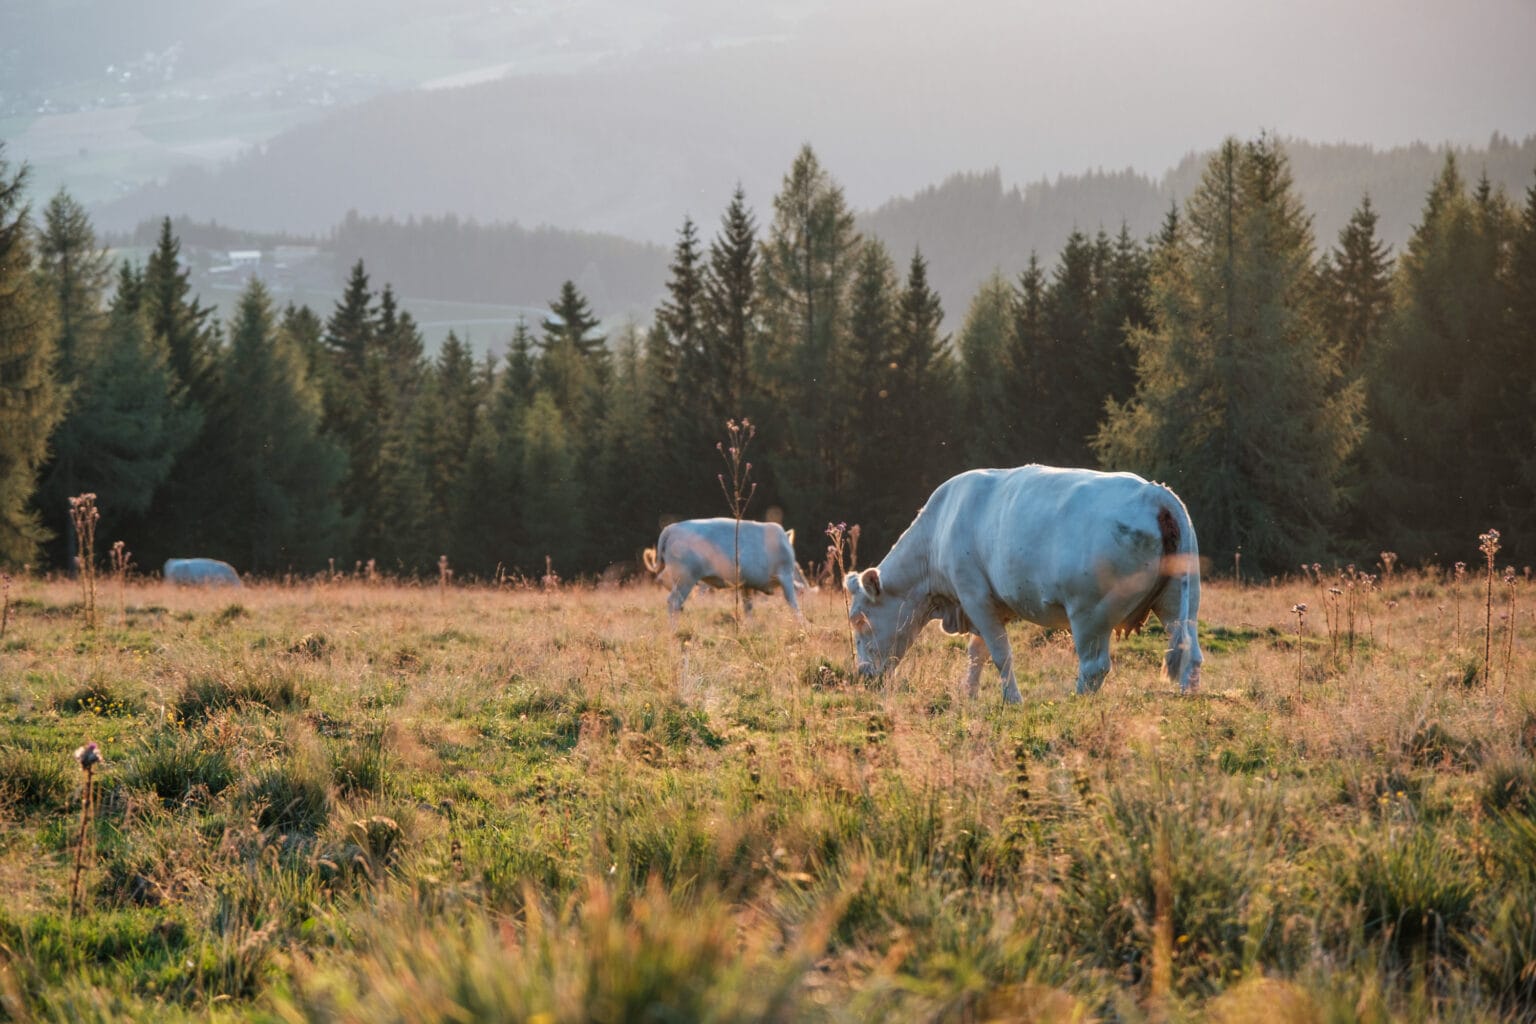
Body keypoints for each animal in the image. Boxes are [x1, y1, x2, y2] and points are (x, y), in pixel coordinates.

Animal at [642, 521, 811, 626]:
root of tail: (671, 528)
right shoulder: (785, 575)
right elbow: (793, 603)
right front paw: (804, 626)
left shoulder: (746, 585)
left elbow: (748, 608)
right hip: (685, 579)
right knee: (673, 603)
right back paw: (674, 631)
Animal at [847, 466, 1204, 700]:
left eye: (860, 620)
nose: (863, 674)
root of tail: (1154, 492)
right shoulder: (986, 606)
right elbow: (977, 652)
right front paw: (969, 694)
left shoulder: (975, 596)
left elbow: (1000, 654)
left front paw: (1012, 700)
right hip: (1179, 601)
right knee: (1191, 652)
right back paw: (1188, 700)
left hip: (1090, 614)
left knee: (1094, 667)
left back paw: (1075, 704)